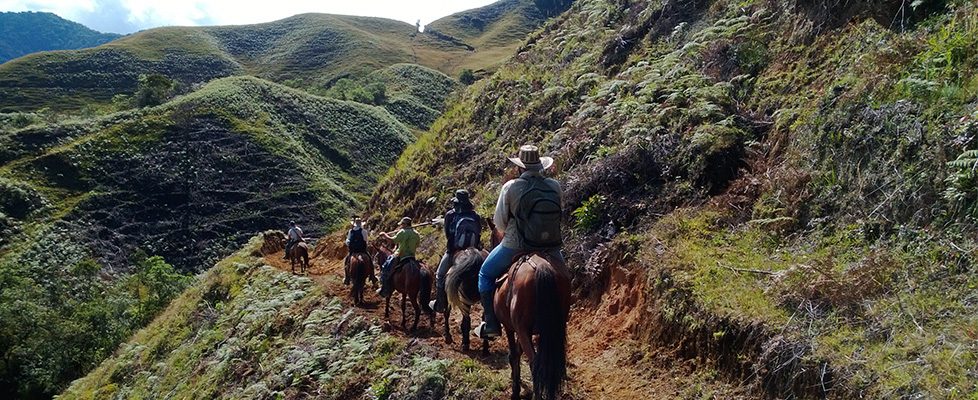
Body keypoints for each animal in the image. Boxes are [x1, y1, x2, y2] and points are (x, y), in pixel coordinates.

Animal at [488, 219, 572, 400]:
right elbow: (518, 353)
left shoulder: (511, 327)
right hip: (553, 329)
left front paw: (515, 390)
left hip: (523, 329)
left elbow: (514, 354)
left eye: (491, 239)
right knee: (549, 365)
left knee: (535, 364)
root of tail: (542, 267)